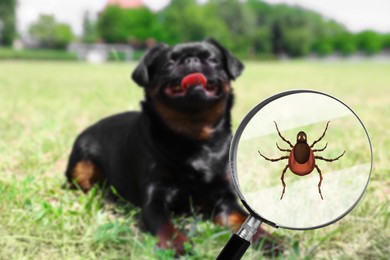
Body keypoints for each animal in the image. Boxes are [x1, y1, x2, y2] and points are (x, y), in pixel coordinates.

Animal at [64, 39, 280, 256]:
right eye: (169, 64)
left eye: (213, 60)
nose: (191, 60)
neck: (195, 137)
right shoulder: (154, 198)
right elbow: (164, 224)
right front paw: (178, 244)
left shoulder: (224, 201)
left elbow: (241, 218)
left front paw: (269, 240)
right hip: (82, 165)